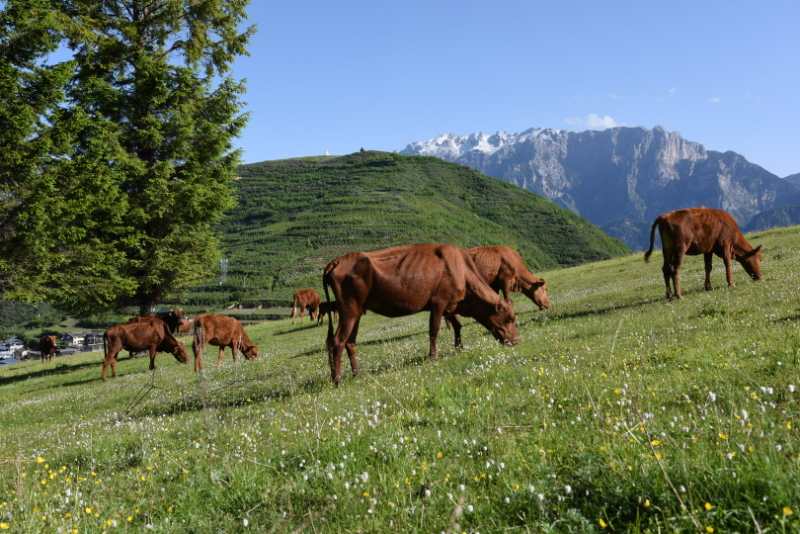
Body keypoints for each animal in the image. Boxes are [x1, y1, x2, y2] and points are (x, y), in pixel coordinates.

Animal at [322, 245, 520, 388]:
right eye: (510, 319)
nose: (517, 341)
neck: (461, 270)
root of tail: (336, 261)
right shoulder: (439, 303)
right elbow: (434, 330)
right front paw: (433, 356)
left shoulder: (450, 306)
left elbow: (457, 325)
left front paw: (459, 347)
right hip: (348, 310)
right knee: (338, 341)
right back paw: (337, 379)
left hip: (357, 312)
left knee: (350, 342)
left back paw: (357, 374)